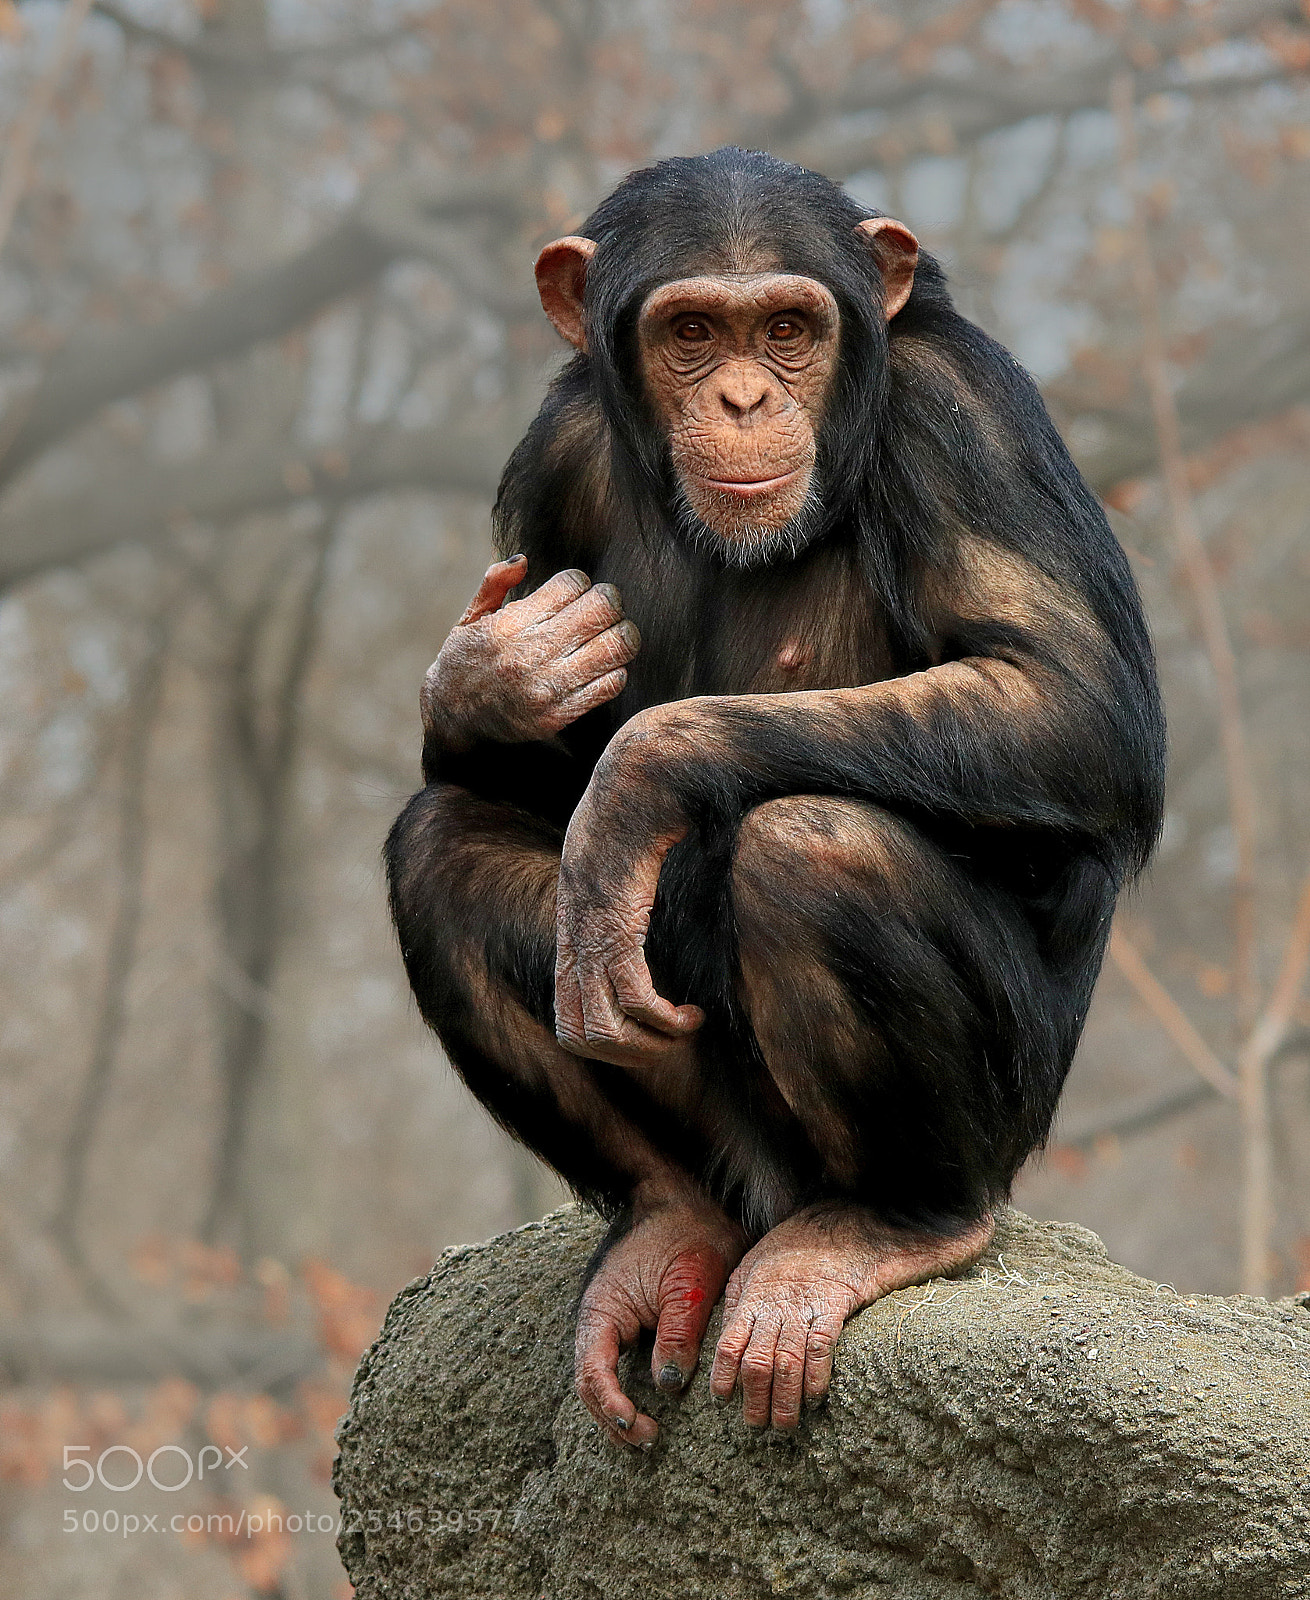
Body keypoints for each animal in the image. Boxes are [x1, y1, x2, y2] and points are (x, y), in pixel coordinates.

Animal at [385, 147, 1166, 1446]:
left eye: (788, 329)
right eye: (692, 331)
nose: (746, 398)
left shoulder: (965, 416)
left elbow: (1067, 701)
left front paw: (635, 780)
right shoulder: (551, 456)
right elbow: (491, 777)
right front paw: (491, 677)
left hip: (998, 1126)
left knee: (811, 845)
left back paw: (886, 1226)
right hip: (720, 1142)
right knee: (440, 846)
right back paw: (664, 1226)